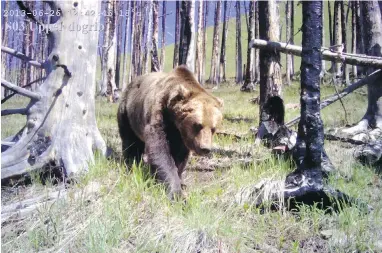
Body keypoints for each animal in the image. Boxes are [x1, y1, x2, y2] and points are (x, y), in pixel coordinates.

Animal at [118, 65, 222, 198]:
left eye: (213, 128)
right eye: (197, 125)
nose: (205, 148)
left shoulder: (181, 137)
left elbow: (180, 156)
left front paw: (181, 183)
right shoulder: (159, 116)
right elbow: (160, 151)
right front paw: (176, 193)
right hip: (128, 112)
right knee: (130, 142)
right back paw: (131, 166)